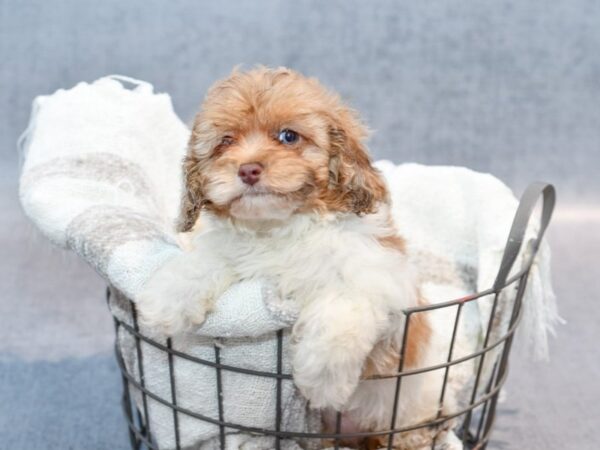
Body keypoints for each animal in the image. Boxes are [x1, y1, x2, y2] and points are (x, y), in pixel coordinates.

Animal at [137, 67, 460, 450]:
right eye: (226, 141)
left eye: (288, 136)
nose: (248, 169)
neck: (280, 225)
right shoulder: (233, 251)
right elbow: (206, 260)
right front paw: (165, 299)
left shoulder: (377, 276)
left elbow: (343, 310)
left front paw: (322, 377)